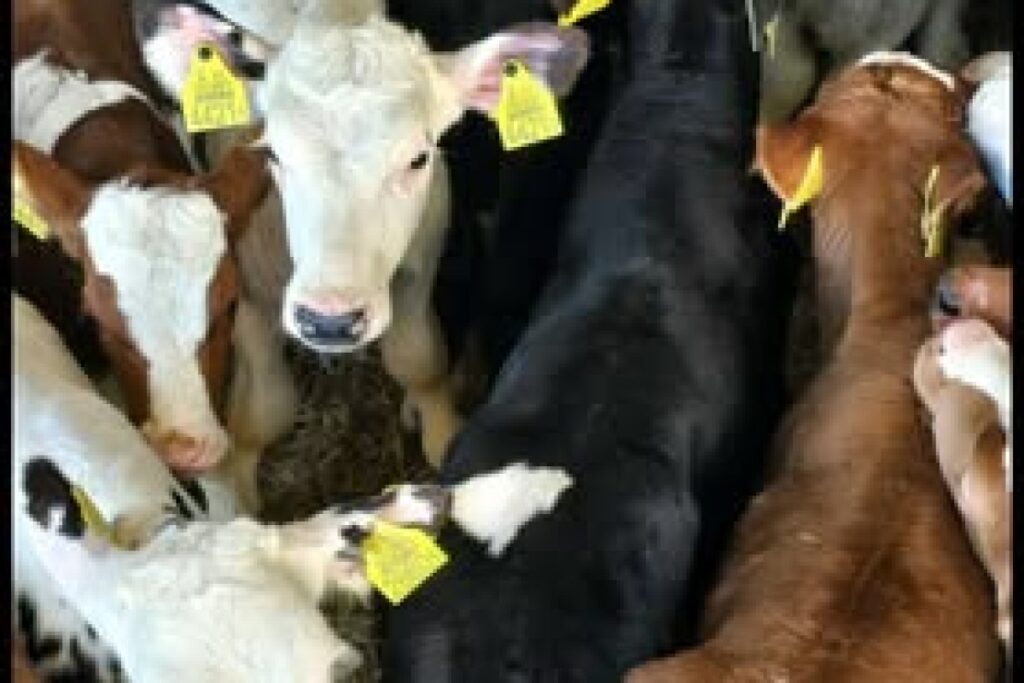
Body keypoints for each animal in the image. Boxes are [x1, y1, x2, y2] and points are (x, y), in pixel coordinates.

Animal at [128, 0, 594, 464]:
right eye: (274, 153)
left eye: (419, 159)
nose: (329, 321)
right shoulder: (250, 295)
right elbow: (262, 415)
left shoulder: (421, 266)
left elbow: (418, 360)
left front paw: (439, 429)